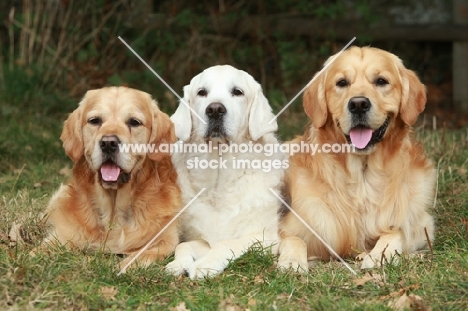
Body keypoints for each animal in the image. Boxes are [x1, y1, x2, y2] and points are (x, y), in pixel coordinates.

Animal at [42, 86, 181, 270]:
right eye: (95, 121)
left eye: (134, 122)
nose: (108, 143)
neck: (114, 212)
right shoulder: (61, 236)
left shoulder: (166, 238)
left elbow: (142, 255)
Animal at [278, 46, 436, 270]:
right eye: (342, 82)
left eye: (381, 81)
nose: (359, 104)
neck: (362, 175)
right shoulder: (292, 227)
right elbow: (294, 239)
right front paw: (292, 261)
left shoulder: (423, 226)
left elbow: (395, 233)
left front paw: (378, 255)